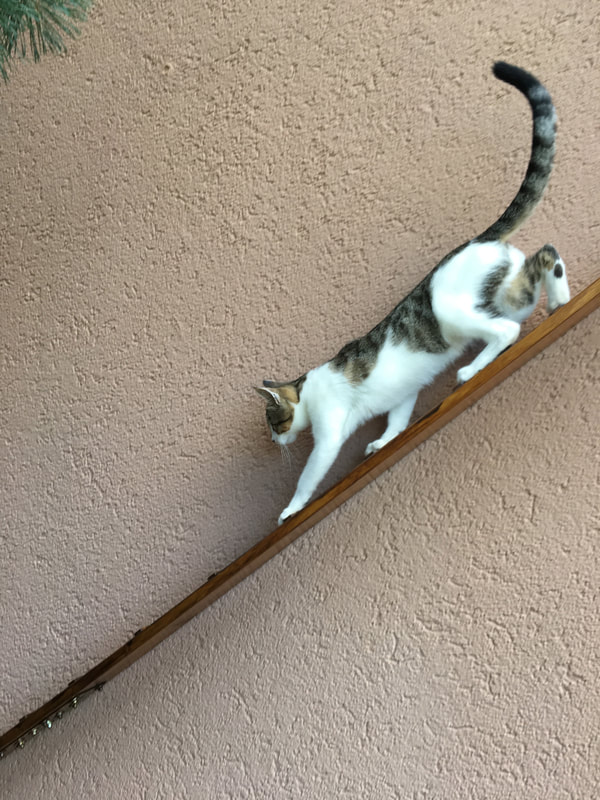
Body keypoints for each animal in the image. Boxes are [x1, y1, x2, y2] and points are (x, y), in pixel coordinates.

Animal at [256, 62, 571, 526]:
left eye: (272, 422)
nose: (275, 443)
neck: (308, 387)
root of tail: (477, 241)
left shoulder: (329, 432)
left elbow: (309, 476)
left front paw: (290, 509)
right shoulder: (402, 395)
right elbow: (397, 421)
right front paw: (383, 442)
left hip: (454, 309)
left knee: (507, 331)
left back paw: (471, 369)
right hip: (507, 291)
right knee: (545, 256)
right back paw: (561, 299)